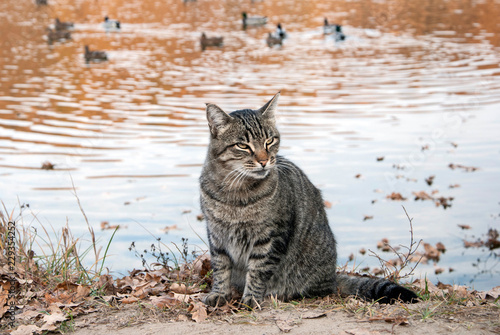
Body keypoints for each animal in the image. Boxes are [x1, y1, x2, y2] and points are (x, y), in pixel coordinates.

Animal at [199, 93, 418, 308]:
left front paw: (251, 298)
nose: (264, 161)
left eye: (270, 141)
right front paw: (219, 293)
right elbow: (220, 268)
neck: (235, 192)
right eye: (243, 146)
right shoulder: (216, 236)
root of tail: (333, 278)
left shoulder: (271, 237)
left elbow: (258, 271)